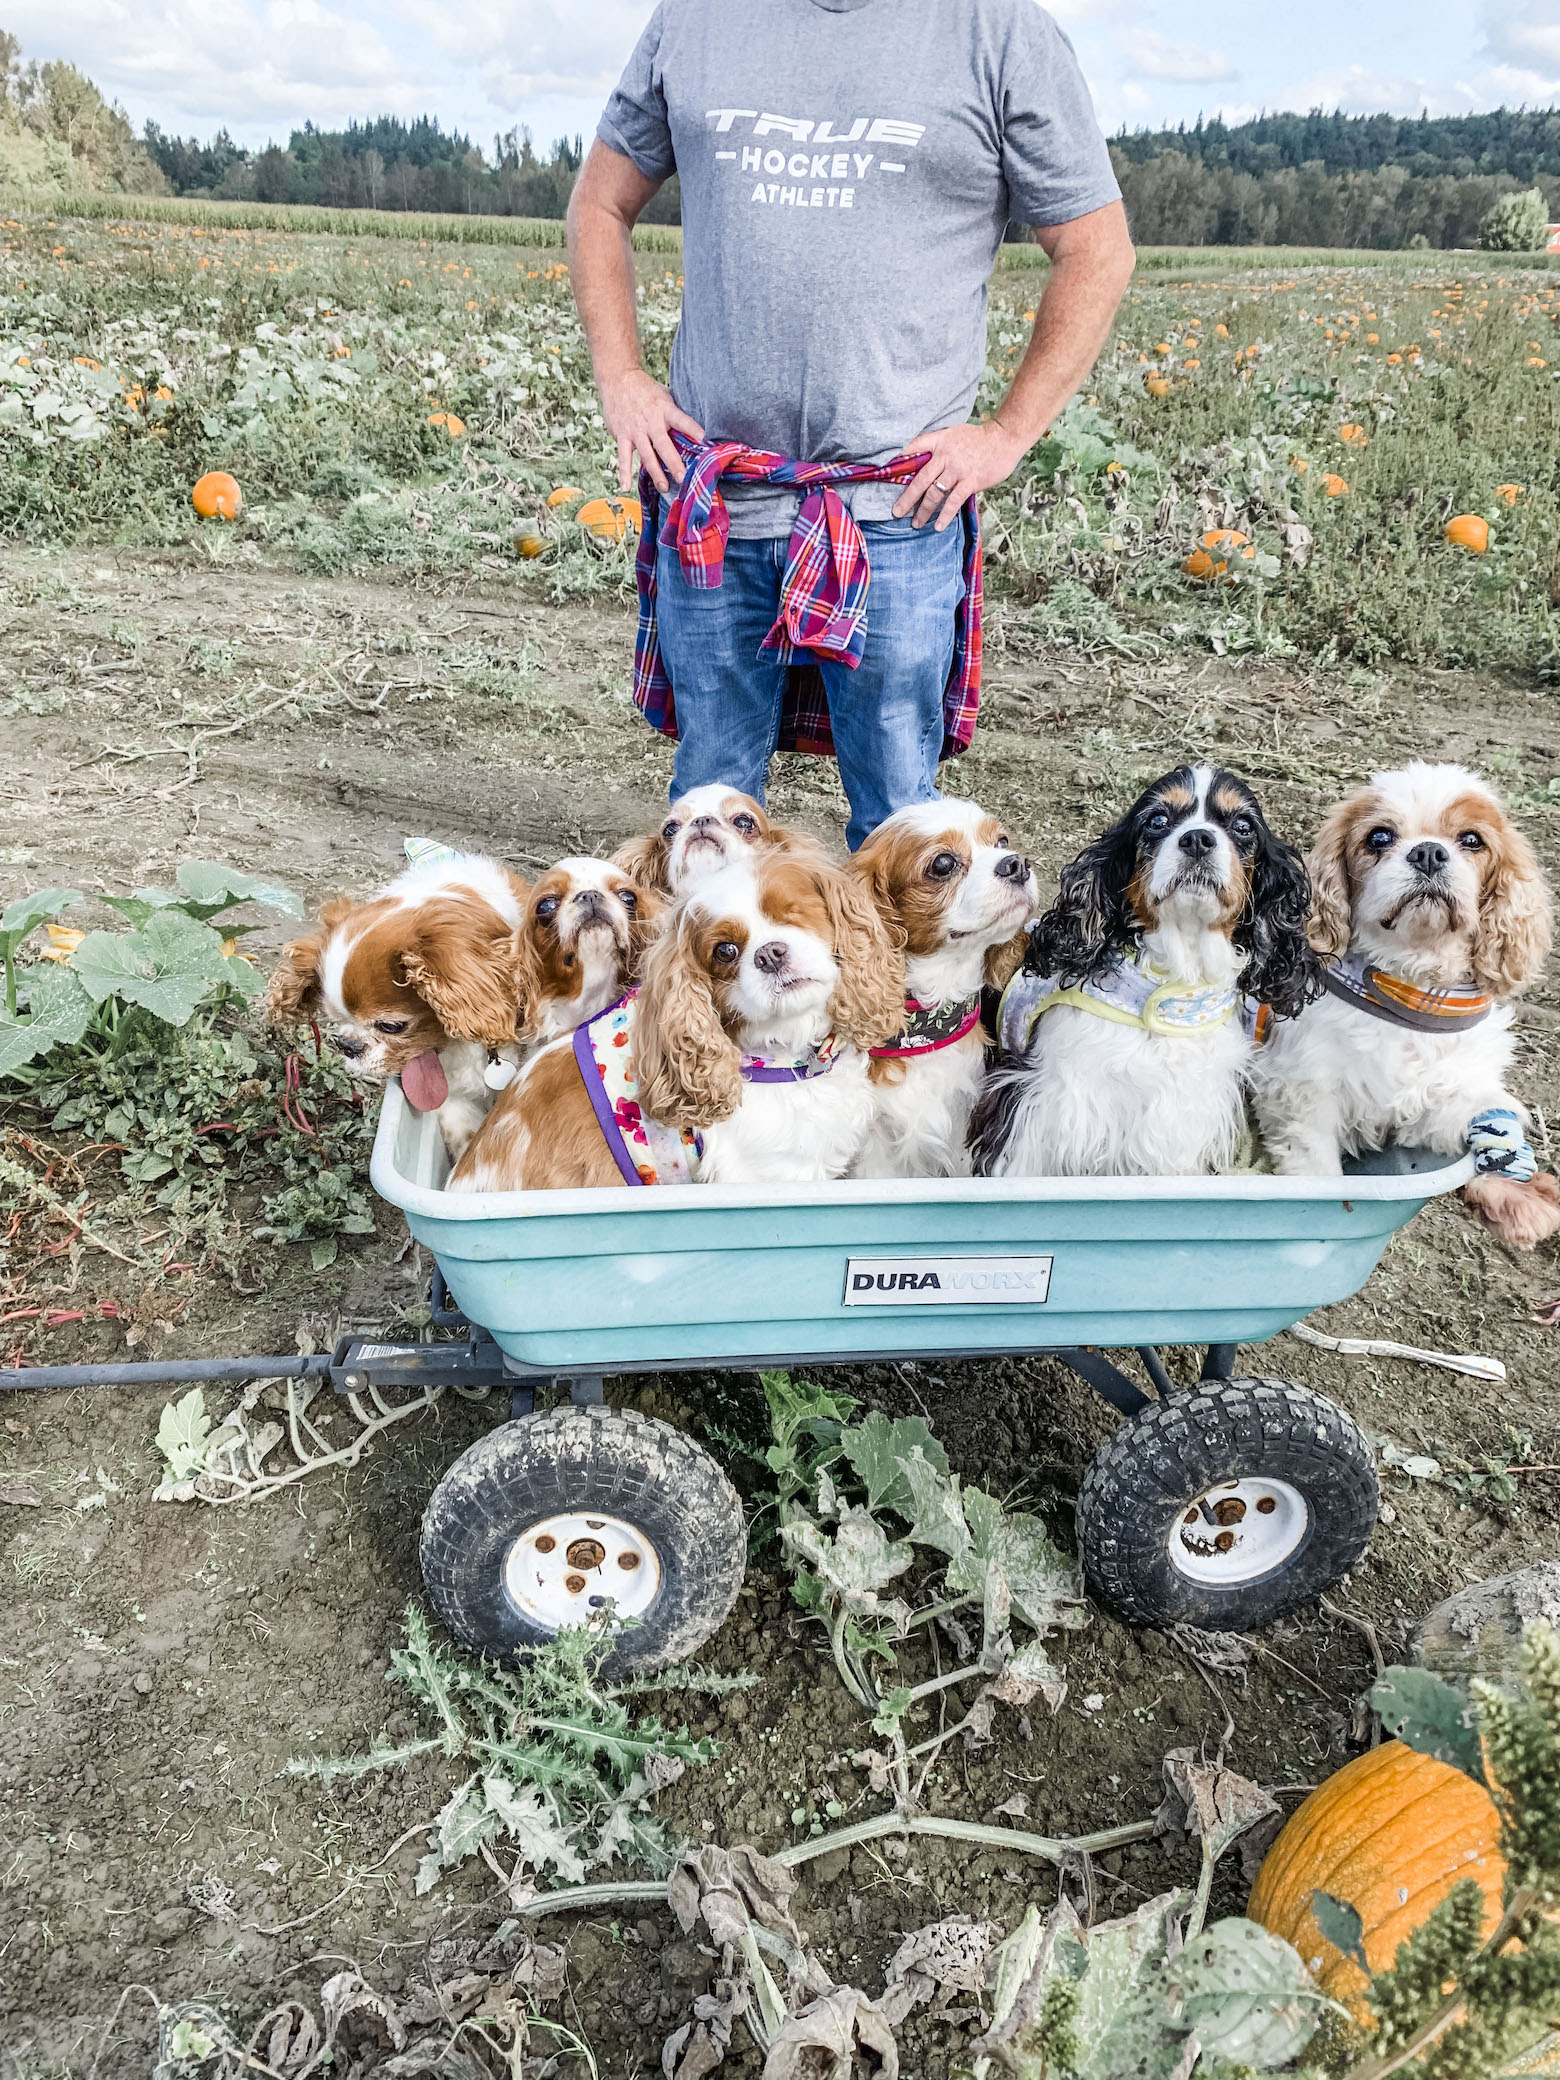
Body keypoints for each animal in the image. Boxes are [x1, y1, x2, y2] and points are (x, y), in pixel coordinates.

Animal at [1256, 765, 1560, 1248]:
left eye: (1472, 840)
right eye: (1379, 837)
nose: (1429, 853)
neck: (1409, 986)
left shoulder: (1441, 1096)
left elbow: (1484, 1117)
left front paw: (1515, 1185)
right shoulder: (1301, 1094)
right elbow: (1317, 1169)